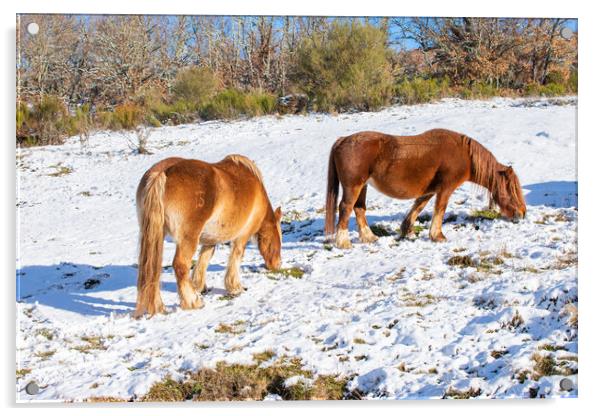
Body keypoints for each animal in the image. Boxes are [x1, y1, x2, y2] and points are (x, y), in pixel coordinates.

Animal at [135, 154, 280, 316]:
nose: (277, 265)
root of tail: (161, 173)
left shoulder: (211, 239)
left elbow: (204, 259)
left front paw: (200, 286)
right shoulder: (241, 237)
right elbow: (235, 257)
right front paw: (235, 287)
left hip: (156, 236)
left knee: (153, 270)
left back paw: (159, 307)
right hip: (187, 239)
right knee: (180, 266)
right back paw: (193, 302)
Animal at [324, 128, 524, 249]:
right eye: (512, 190)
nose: (522, 213)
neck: (464, 155)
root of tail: (342, 140)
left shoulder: (430, 190)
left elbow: (418, 207)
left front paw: (408, 231)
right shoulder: (445, 188)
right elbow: (439, 210)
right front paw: (438, 236)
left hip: (363, 186)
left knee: (359, 209)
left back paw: (369, 238)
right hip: (354, 186)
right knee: (346, 208)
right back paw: (343, 242)